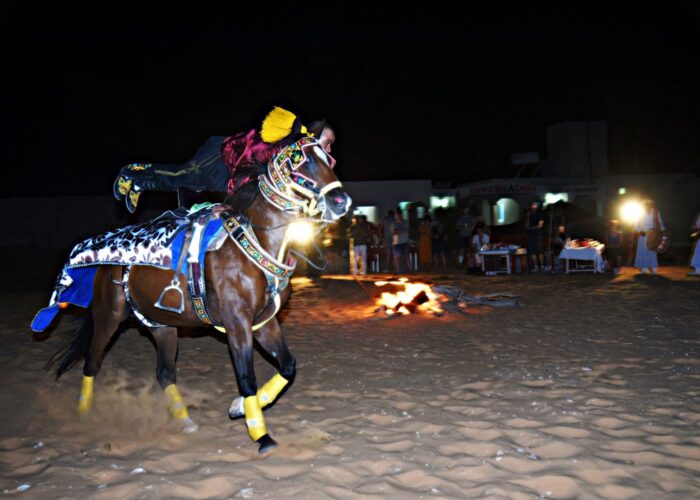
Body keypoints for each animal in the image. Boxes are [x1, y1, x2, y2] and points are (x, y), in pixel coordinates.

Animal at [47, 133, 348, 454]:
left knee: (164, 373)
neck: (255, 242)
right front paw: (261, 435)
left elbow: (288, 366)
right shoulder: (237, 324)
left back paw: (185, 421)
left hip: (161, 325)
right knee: (92, 362)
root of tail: (105, 264)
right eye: (300, 161)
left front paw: (239, 408)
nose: (340, 201)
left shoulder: (264, 323)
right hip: (109, 316)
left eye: (327, 159)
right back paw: (83, 414)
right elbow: (247, 378)